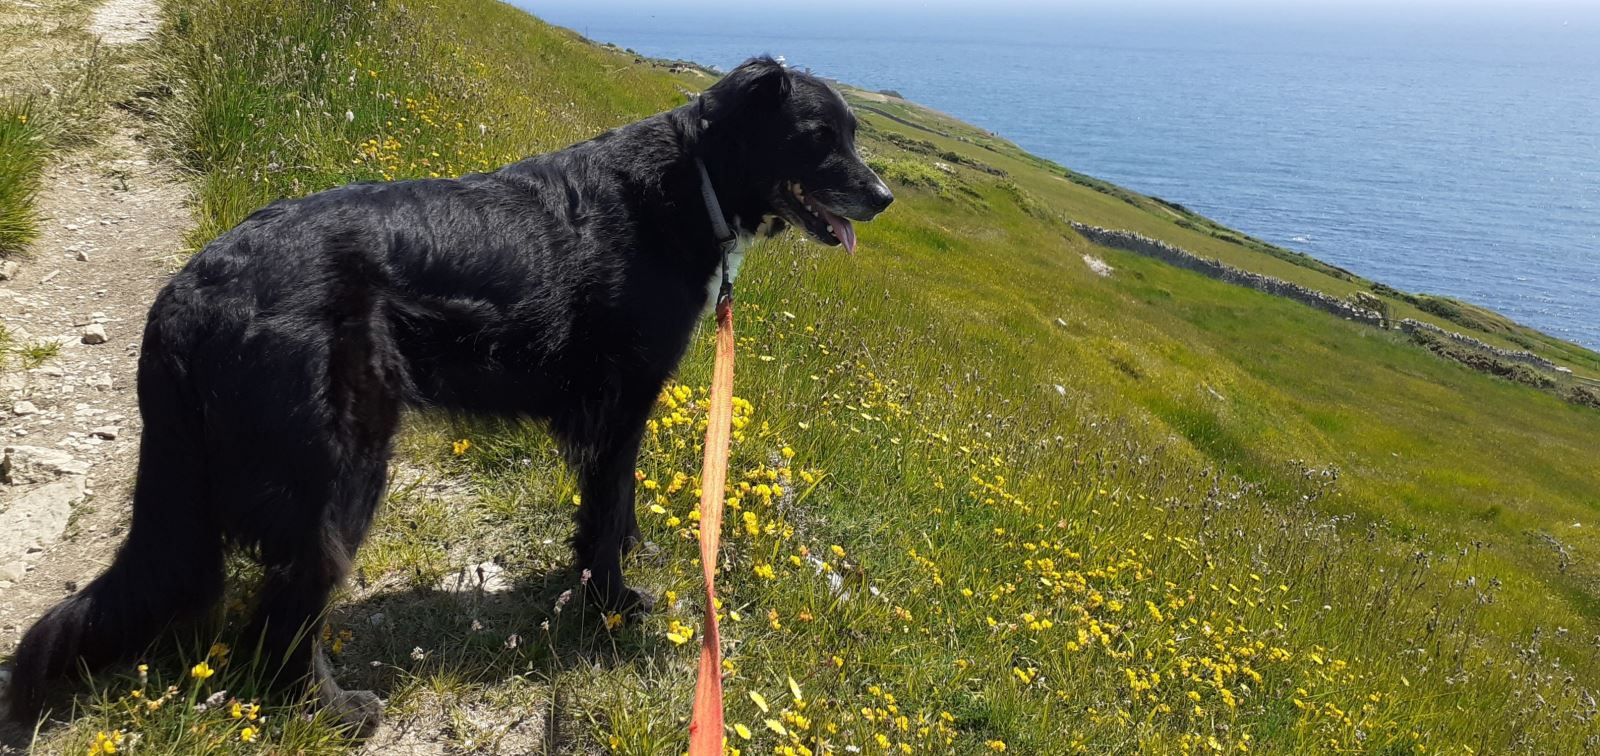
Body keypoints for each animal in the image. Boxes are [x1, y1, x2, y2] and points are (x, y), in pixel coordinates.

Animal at [0, 57, 889, 733]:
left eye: (854, 135)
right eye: (819, 138)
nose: (882, 196)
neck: (691, 180)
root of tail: (183, 295)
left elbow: (613, 509)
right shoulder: (620, 403)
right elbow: (605, 513)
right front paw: (609, 607)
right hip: (343, 470)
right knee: (284, 619)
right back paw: (332, 711)